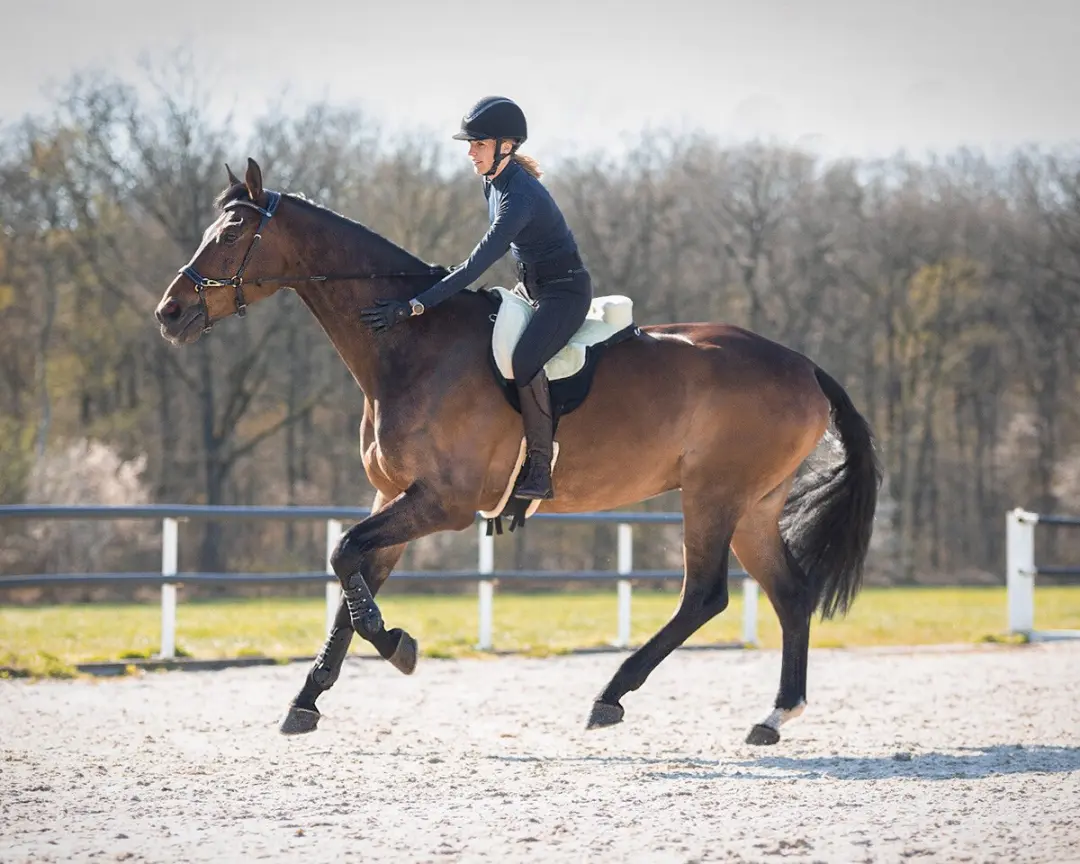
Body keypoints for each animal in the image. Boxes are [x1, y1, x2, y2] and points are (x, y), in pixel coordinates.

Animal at [154, 158, 881, 745]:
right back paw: (774, 716)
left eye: (229, 235)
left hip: (714, 496)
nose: (169, 313)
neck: (410, 347)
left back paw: (611, 696)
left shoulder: (442, 503)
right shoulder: (393, 495)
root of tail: (804, 364)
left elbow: (343, 555)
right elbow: (351, 574)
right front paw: (308, 700)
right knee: (790, 593)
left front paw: (396, 645)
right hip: (754, 506)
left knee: (703, 597)